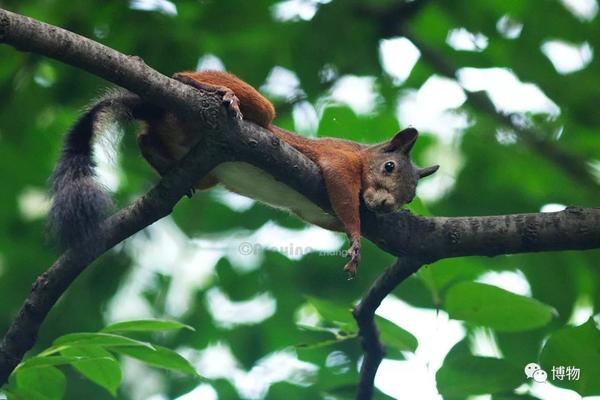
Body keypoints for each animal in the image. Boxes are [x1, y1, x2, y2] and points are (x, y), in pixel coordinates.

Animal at [49, 70, 438, 276]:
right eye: (389, 167)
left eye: (410, 197)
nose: (386, 206)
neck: (362, 156)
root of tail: (158, 110)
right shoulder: (337, 159)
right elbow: (342, 193)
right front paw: (356, 240)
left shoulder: (316, 214)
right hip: (252, 110)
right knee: (188, 80)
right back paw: (213, 89)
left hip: (203, 170)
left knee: (146, 139)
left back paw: (165, 164)